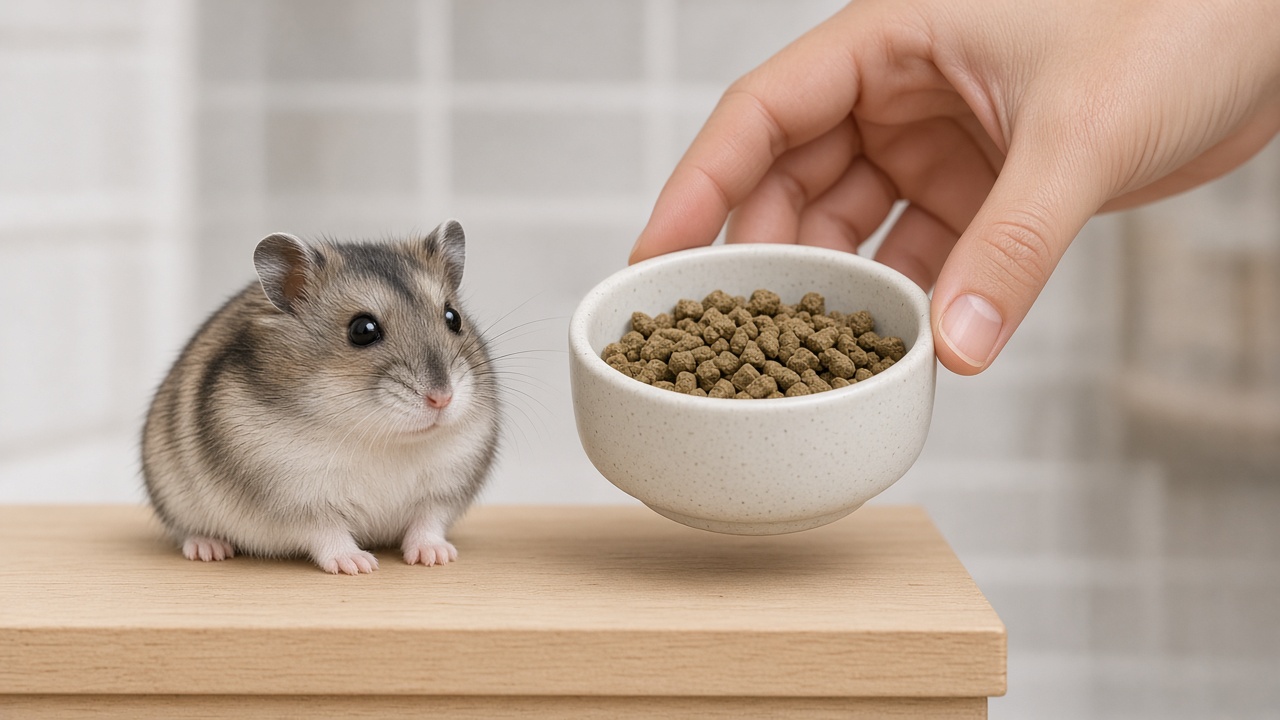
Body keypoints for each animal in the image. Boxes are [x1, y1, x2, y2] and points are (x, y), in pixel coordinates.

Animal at [141, 220, 501, 574]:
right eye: (363, 330)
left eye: (453, 318)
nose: (442, 398)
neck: (380, 437)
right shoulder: (297, 501)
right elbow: (327, 532)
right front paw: (358, 565)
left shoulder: (443, 490)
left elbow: (427, 522)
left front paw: (438, 556)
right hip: (173, 496)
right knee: (187, 530)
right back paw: (210, 549)